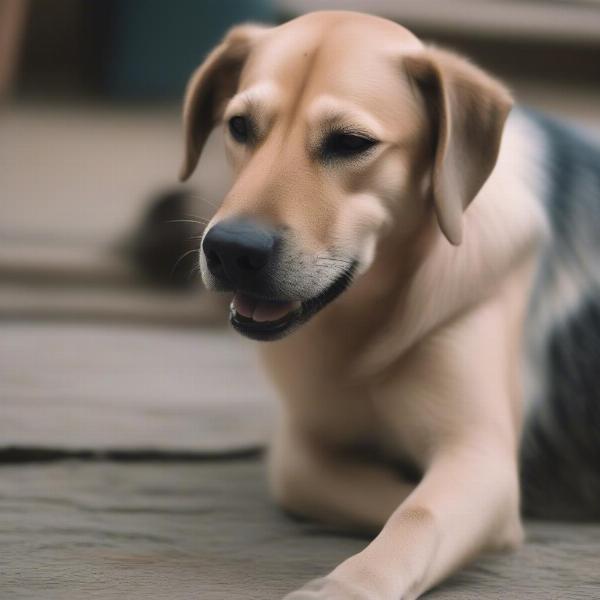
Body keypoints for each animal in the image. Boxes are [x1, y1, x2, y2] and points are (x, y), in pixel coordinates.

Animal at [178, 10, 600, 600]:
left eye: (351, 142)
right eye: (239, 127)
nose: (231, 250)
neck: (364, 326)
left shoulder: (478, 454)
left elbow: (417, 513)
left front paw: (347, 586)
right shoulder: (304, 443)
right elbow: (328, 482)